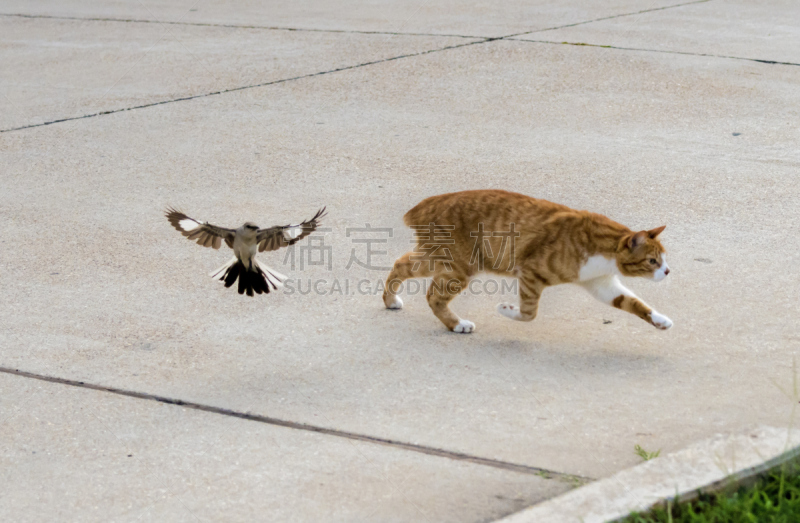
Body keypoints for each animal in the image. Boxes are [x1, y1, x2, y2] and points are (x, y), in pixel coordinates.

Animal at [384, 190, 672, 334]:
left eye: (663, 258)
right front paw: (506, 309)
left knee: (400, 263)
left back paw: (391, 301)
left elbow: (633, 303)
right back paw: (457, 324)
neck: (602, 249)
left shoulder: (600, 284)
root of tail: (425, 204)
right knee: (433, 295)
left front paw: (659, 320)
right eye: (652, 261)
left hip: (441, 260)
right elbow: (528, 313)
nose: (668, 271)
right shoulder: (531, 273)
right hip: (460, 266)